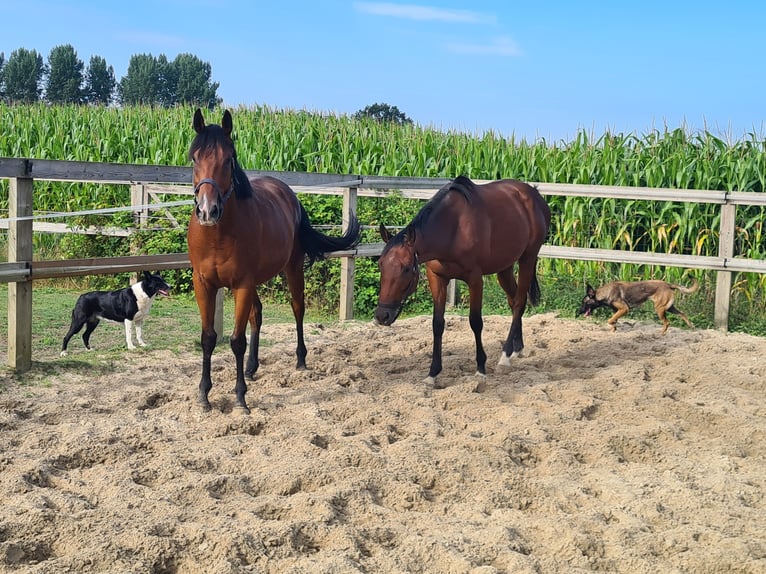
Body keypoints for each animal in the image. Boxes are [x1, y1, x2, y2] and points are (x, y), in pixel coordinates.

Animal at [188, 109, 364, 414]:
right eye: (195, 157)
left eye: (229, 159)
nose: (208, 210)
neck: (217, 235)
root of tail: (289, 194)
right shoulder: (204, 284)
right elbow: (208, 338)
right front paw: (204, 395)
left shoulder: (242, 284)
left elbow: (236, 341)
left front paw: (240, 398)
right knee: (257, 314)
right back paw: (251, 368)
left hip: (291, 269)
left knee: (297, 308)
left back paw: (301, 359)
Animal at [376, 176, 552, 390]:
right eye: (380, 265)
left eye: (406, 268)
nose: (382, 316)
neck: (453, 229)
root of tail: (534, 194)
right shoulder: (437, 278)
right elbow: (437, 324)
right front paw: (433, 373)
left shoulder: (475, 279)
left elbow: (475, 322)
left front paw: (480, 369)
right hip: (505, 267)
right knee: (514, 300)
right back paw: (516, 349)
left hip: (528, 258)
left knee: (519, 302)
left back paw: (504, 357)